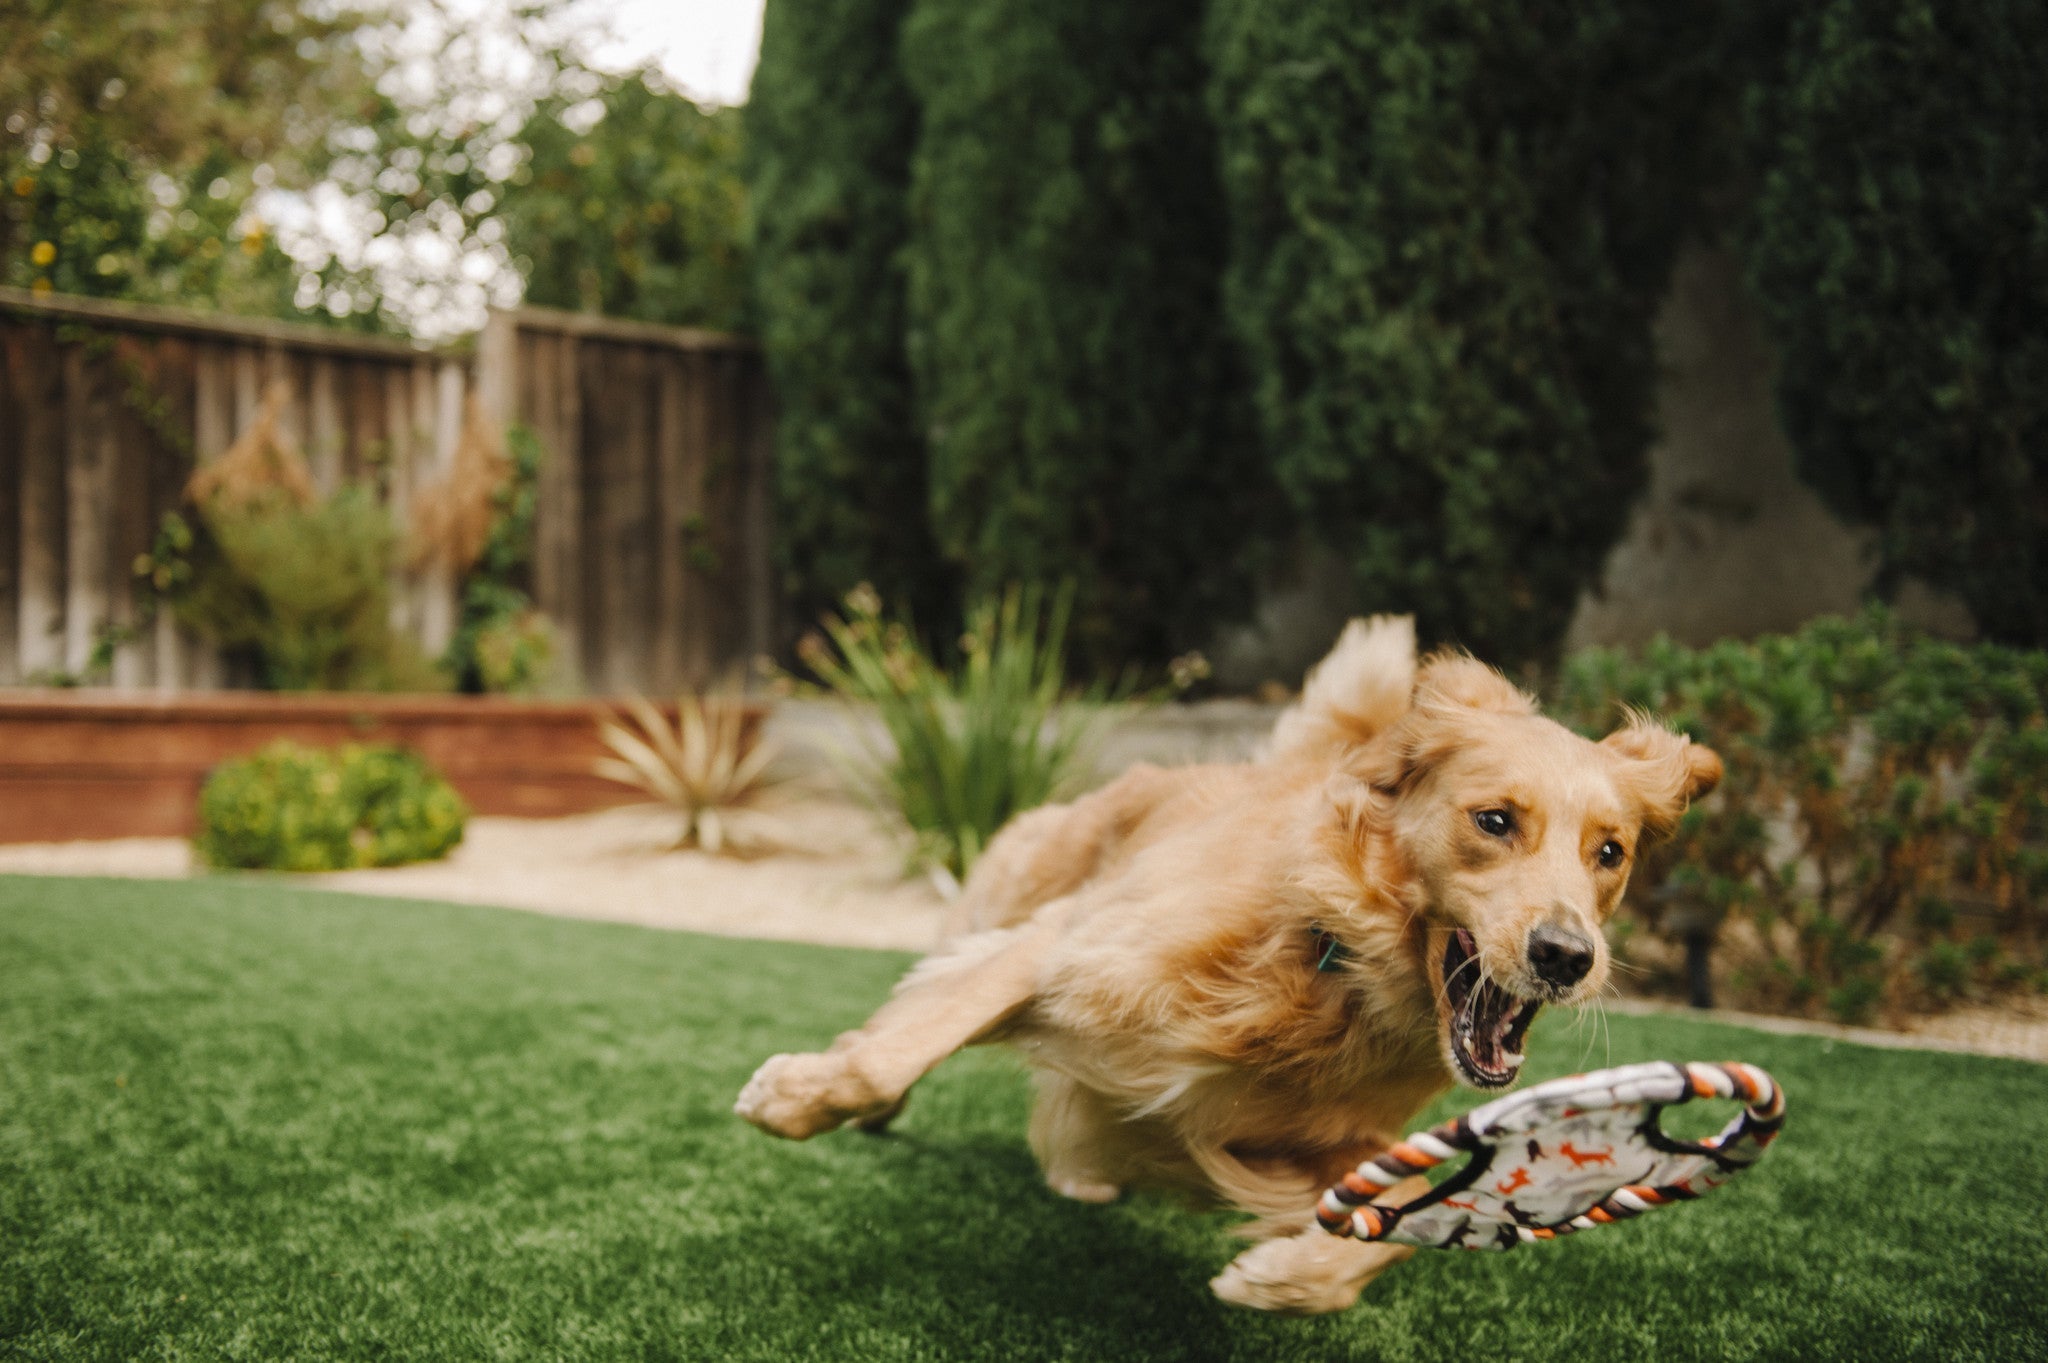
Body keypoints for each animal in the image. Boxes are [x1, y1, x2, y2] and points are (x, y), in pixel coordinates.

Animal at [729, 613, 1720, 1309]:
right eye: (1495, 820)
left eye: (1610, 852)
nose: (1567, 955)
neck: (1325, 961)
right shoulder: (1064, 947)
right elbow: (896, 1047)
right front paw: (796, 1098)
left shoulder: (1311, 1140)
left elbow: (1396, 1216)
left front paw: (1286, 1277)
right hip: (1005, 899)